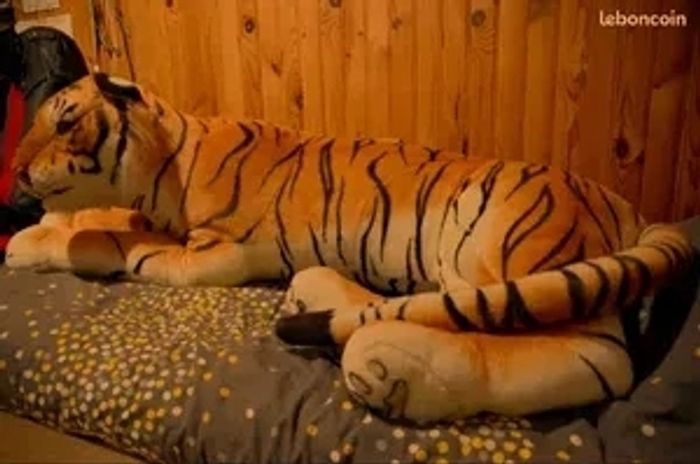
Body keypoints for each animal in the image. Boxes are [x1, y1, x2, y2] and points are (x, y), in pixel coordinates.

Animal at [6, 73, 695, 423]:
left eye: (65, 120)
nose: (12, 173)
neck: (167, 161)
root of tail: (624, 205)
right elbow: (106, 215)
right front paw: (38, 230)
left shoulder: (215, 254)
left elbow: (117, 241)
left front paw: (43, 239)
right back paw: (317, 293)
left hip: (504, 242)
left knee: (592, 356)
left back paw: (396, 364)